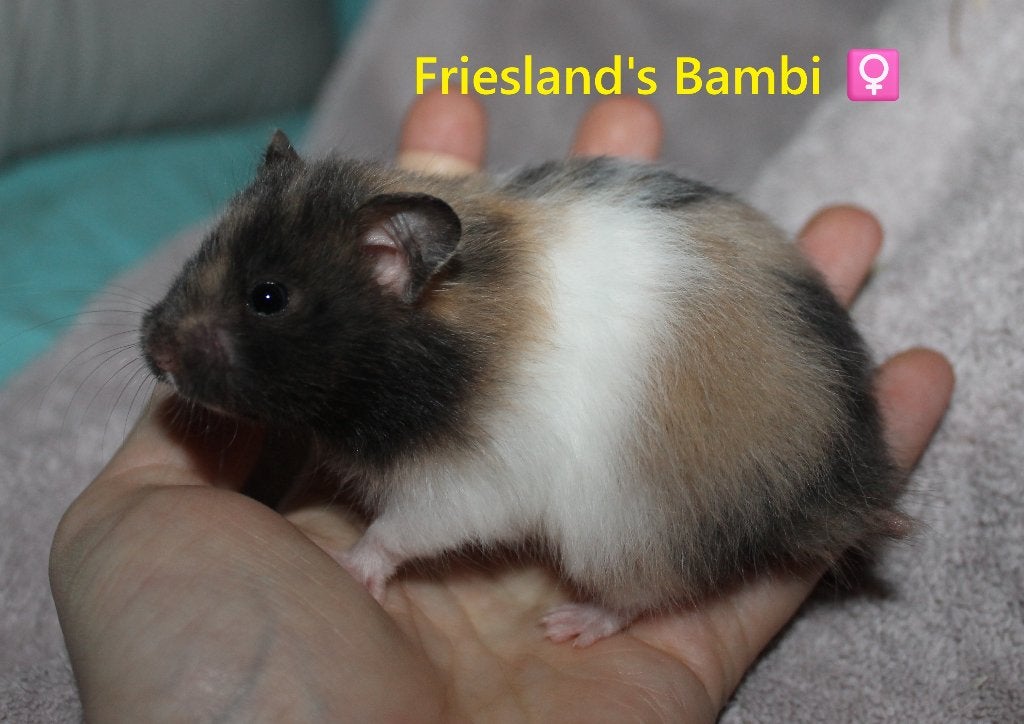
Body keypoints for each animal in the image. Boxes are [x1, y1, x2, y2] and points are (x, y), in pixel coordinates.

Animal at [141, 131, 903, 646]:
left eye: (268, 297)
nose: (152, 350)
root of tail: (846, 483)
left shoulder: (465, 488)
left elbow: (395, 533)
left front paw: (349, 566)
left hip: (628, 532)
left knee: (642, 595)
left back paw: (570, 624)